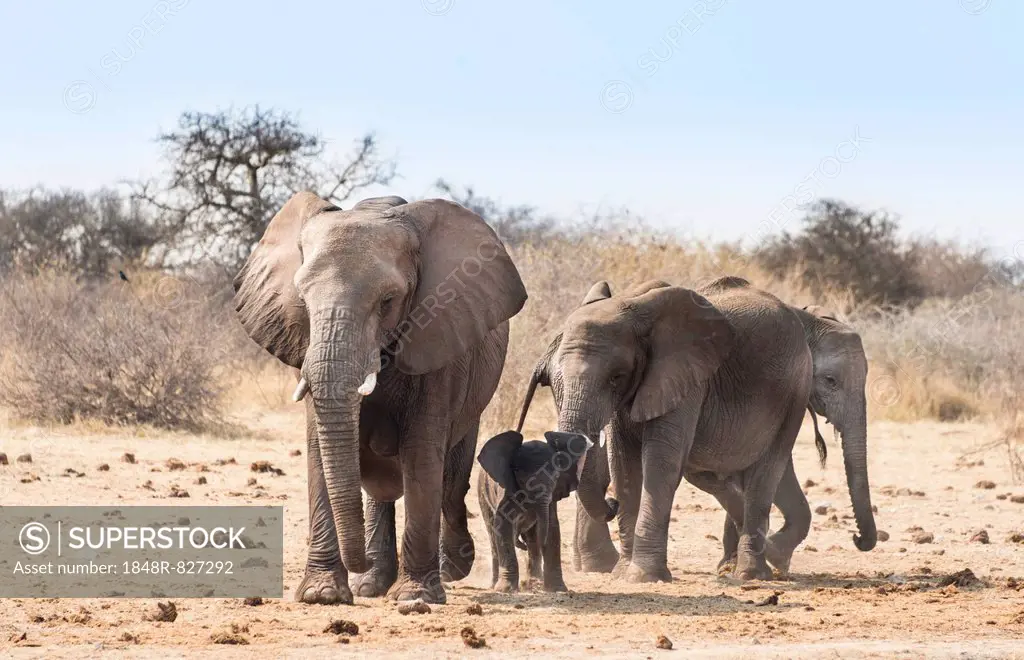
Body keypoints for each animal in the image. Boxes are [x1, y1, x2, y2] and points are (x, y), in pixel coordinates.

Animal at [234, 189, 528, 601]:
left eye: (388, 300)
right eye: (303, 301)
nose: (356, 561)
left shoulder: (438, 335)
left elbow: (422, 450)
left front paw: (416, 596)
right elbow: (319, 447)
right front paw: (323, 595)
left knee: (451, 474)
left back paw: (450, 568)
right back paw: (371, 583)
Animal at [477, 427, 593, 593]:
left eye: (556, 476)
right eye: (522, 478)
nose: (522, 545)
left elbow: (552, 527)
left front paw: (557, 589)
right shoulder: (505, 491)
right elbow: (503, 525)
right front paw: (506, 590)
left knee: (532, 538)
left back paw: (534, 582)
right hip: (482, 493)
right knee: (493, 537)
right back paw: (495, 585)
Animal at [520, 276, 815, 581]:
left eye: (616, 377)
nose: (610, 505)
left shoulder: (686, 377)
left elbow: (660, 463)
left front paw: (643, 576)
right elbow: (623, 466)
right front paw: (622, 574)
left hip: (795, 392)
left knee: (766, 473)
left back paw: (751, 574)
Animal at [704, 300, 880, 573]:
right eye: (830, 380)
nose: (857, 538)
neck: (808, 320)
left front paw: (760, 558)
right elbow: (778, 466)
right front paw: (773, 555)